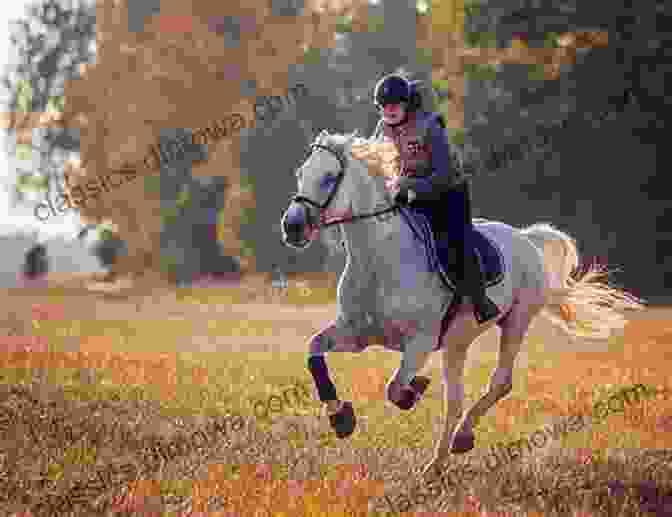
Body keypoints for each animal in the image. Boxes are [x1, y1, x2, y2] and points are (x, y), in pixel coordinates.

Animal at [280, 130, 644, 476]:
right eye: (300, 174)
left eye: (329, 177)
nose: (292, 227)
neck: (378, 260)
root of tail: (525, 237)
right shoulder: (355, 334)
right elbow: (314, 354)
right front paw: (341, 418)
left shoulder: (420, 342)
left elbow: (394, 389)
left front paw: (414, 389)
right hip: (457, 343)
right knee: (454, 402)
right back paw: (437, 464)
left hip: (516, 320)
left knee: (499, 382)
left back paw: (462, 438)